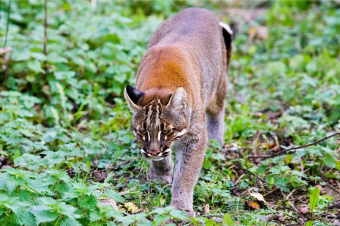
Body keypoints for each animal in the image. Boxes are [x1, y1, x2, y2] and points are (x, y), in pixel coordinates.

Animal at [123, 7, 232, 216]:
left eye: (167, 131)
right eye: (142, 131)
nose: (153, 151)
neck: (160, 83)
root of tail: (199, 8)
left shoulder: (195, 137)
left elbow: (186, 174)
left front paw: (180, 208)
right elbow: (164, 158)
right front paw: (160, 174)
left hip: (217, 87)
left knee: (218, 110)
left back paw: (217, 141)